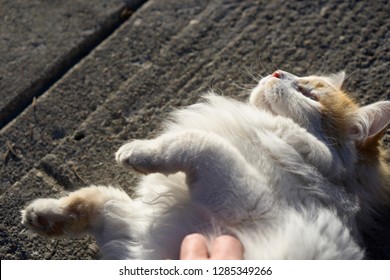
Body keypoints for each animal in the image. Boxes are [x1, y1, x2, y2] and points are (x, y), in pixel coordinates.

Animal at [21, 70, 390, 260]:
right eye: (293, 74)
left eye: (308, 93)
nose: (276, 72)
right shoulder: (142, 236)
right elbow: (96, 200)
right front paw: (43, 216)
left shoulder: (242, 200)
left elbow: (199, 142)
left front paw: (136, 152)